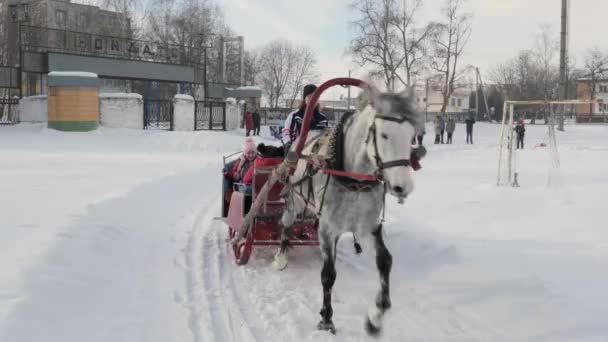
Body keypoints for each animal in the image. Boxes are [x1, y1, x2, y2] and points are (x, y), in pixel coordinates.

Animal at [276, 87, 422, 336]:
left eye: (412, 136)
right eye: (384, 135)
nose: (403, 187)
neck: (354, 180)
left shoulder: (367, 227)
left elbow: (385, 261)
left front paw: (376, 317)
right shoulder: (327, 228)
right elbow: (328, 275)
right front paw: (326, 319)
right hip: (295, 202)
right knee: (286, 223)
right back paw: (281, 255)